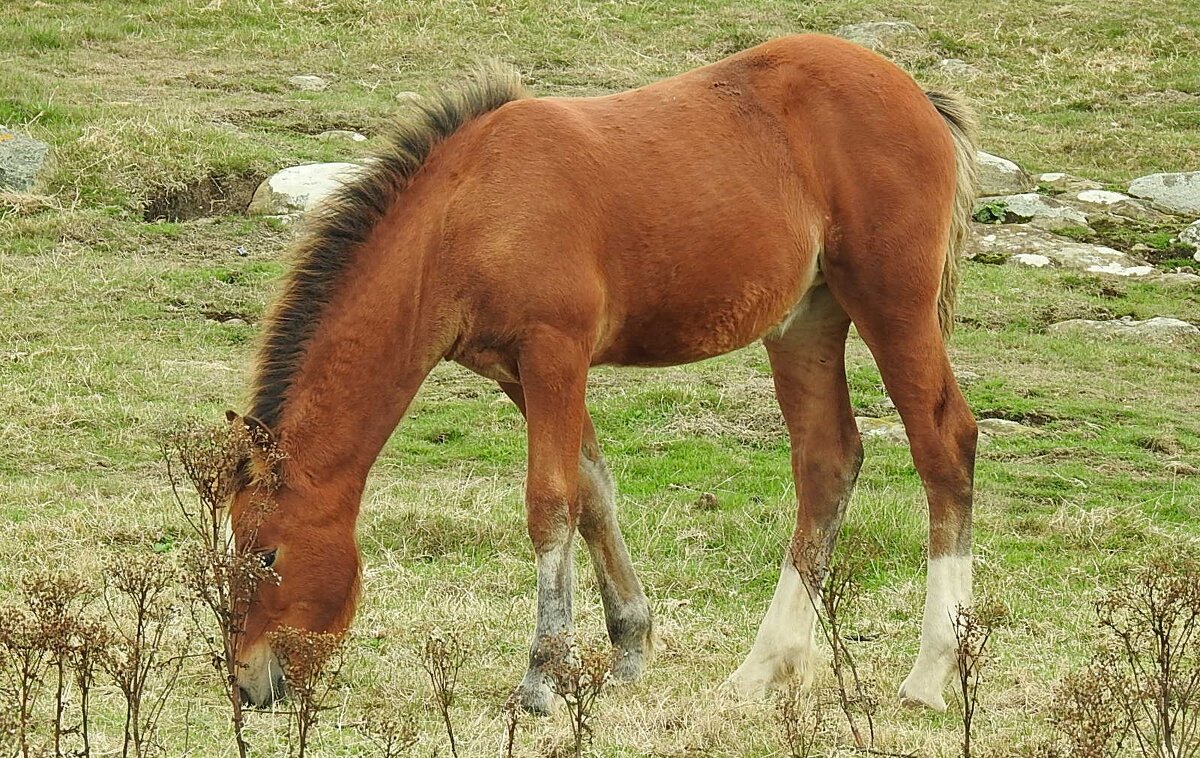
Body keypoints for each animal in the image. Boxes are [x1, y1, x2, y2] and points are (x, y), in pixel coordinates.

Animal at [225, 31, 974, 714]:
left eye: (268, 556)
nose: (248, 684)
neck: (466, 215)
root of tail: (919, 98)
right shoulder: (517, 373)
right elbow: (593, 492)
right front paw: (630, 650)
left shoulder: (555, 352)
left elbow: (550, 504)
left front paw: (540, 679)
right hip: (805, 322)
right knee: (826, 462)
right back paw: (763, 669)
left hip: (891, 303)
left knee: (945, 444)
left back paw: (930, 675)